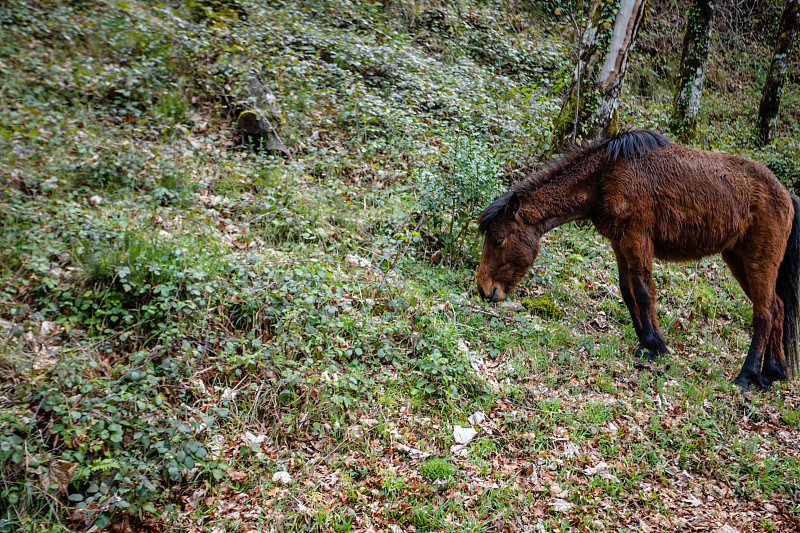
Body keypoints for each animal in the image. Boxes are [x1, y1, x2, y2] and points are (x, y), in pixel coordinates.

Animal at [478, 129, 796, 386]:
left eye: (498, 240)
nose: (484, 289)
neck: (606, 175)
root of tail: (787, 196)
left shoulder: (637, 239)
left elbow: (644, 292)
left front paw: (652, 346)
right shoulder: (620, 243)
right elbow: (628, 291)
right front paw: (648, 340)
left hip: (759, 262)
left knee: (765, 313)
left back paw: (747, 375)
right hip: (738, 259)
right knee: (778, 308)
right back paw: (773, 372)